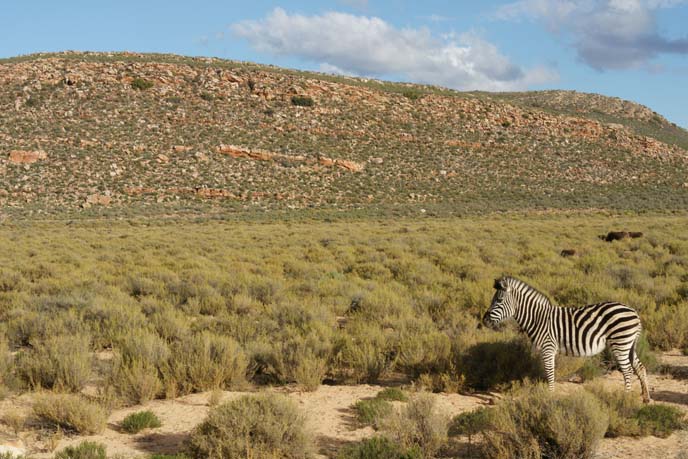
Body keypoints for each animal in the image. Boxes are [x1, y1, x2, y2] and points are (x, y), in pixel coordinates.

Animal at [484, 276, 652, 402]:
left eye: (498, 301)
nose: (484, 320)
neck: (538, 319)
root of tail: (634, 312)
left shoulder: (548, 348)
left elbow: (550, 372)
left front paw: (550, 396)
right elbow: (548, 372)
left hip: (620, 343)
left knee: (628, 370)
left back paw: (625, 398)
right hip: (628, 344)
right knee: (640, 367)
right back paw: (646, 398)